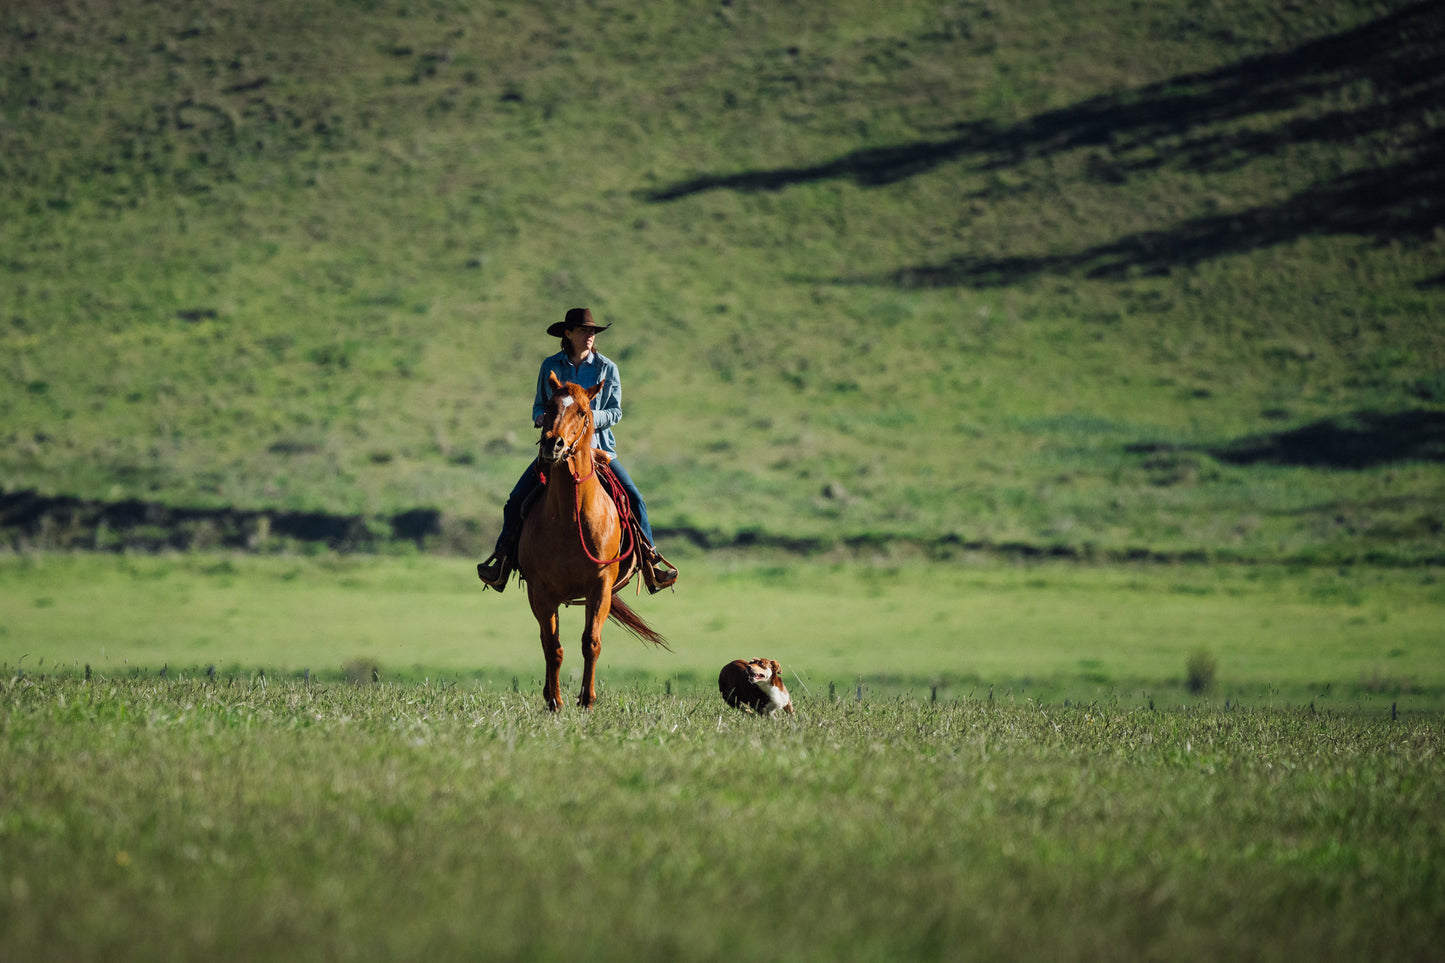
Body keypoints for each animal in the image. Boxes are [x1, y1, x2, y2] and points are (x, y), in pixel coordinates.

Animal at [523, 370, 667, 708]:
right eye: (549, 407)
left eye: (582, 412)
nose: (552, 444)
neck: (569, 519)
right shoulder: (540, 590)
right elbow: (553, 646)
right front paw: (555, 702)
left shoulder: (600, 585)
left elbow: (591, 642)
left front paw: (586, 700)